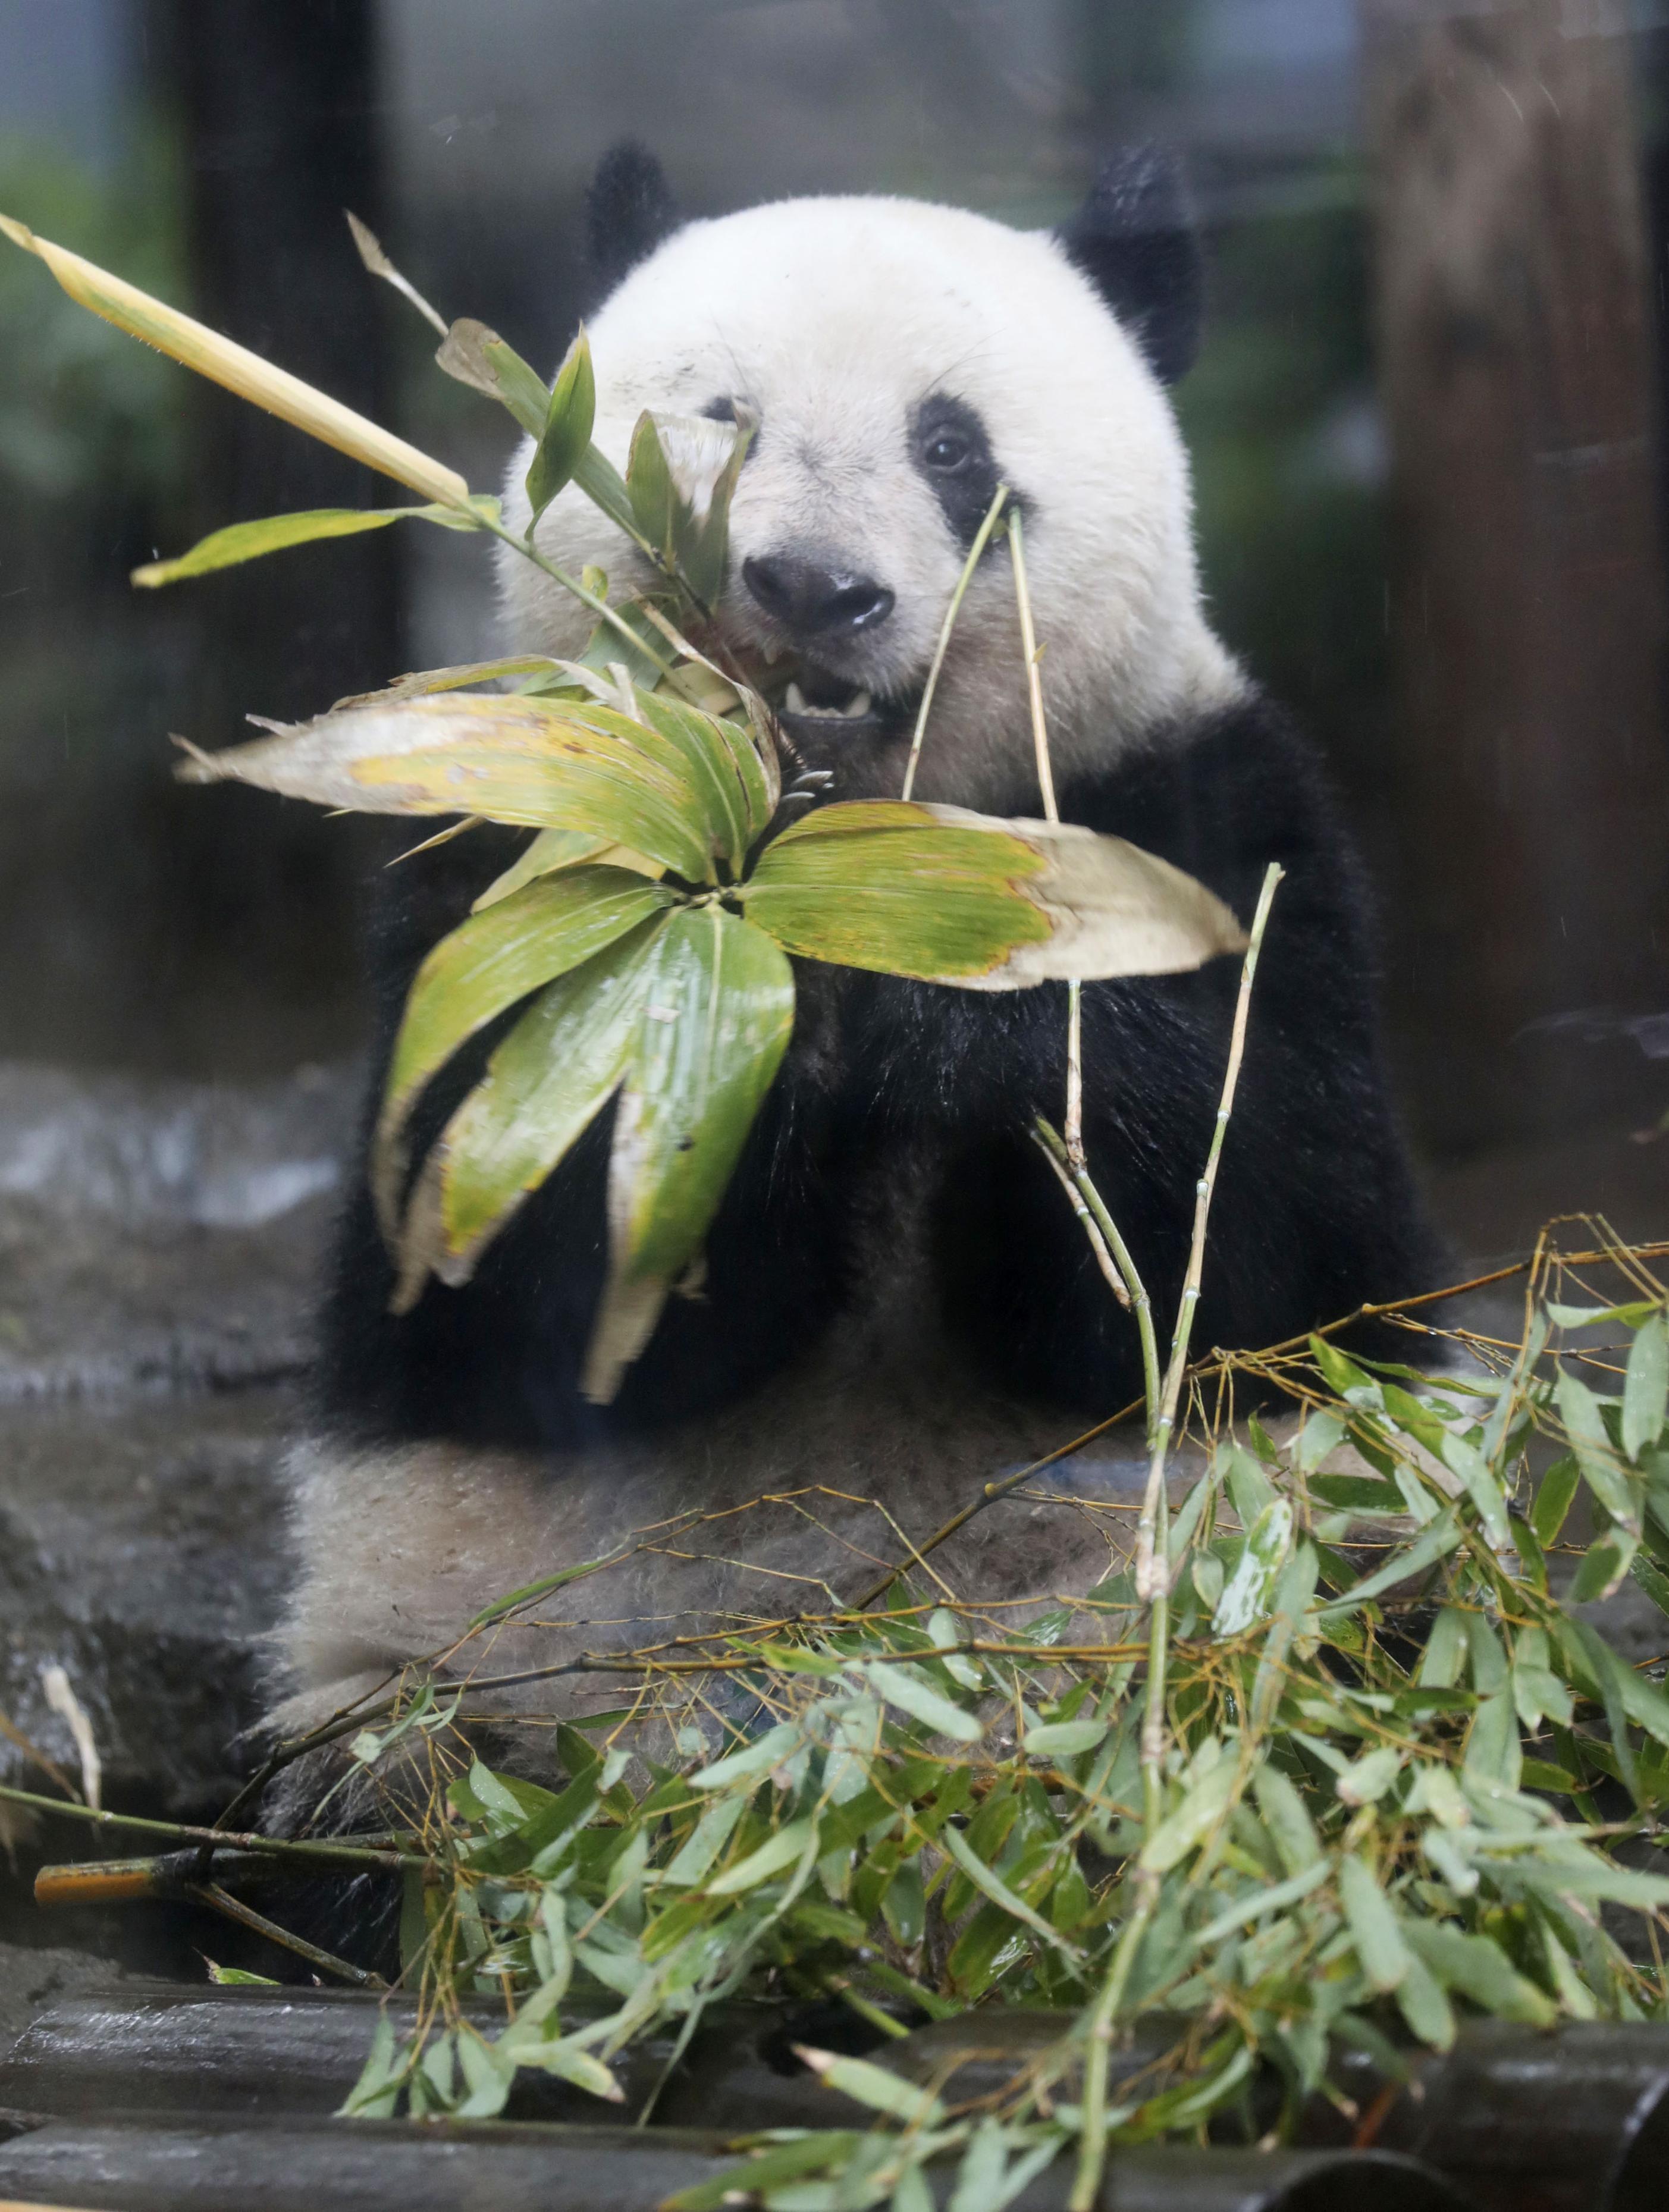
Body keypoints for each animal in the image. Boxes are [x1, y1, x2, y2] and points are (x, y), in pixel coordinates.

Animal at [267, 142, 1441, 1796]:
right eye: (721, 415)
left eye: (949, 445)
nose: (810, 590)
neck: (835, 847)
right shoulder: (509, 856)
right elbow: (505, 1283)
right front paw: (733, 1069)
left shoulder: (1214, 825)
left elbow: (1256, 1264)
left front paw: (962, 1033)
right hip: (443, 1667)